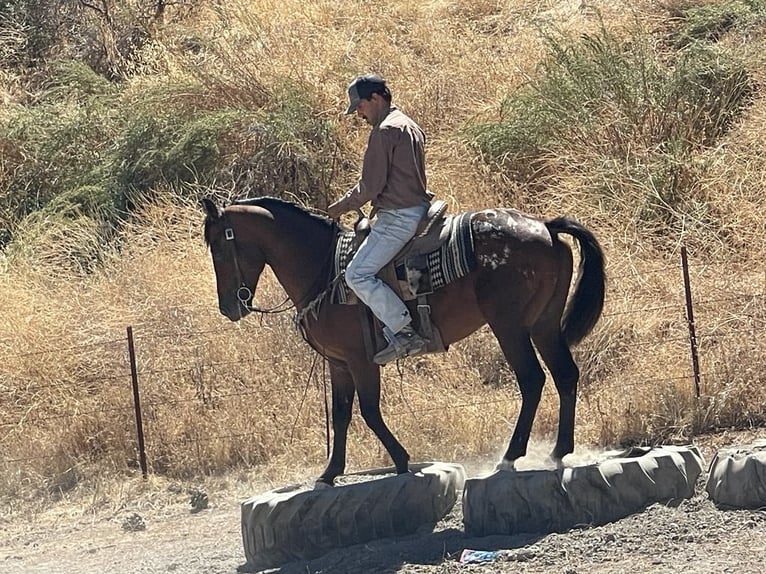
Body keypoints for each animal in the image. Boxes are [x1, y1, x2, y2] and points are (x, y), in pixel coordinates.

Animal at [201, 196, 606, 485]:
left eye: (219, 247)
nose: (229, 307)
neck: (324, 269)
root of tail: (546, 228)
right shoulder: (338, 364)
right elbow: (342, 414)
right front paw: (330, 473)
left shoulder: (361, 360)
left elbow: (368, 411)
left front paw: (401, 460)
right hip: (543, 324)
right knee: (565, 375)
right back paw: (560, 450)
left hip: (509, 326)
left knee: (533, 380)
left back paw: (511, 456)